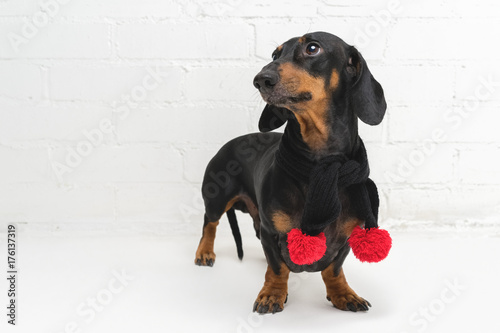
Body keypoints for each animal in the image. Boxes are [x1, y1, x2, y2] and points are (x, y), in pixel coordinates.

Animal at [194, 31, 386, 314]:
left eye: (312, 48)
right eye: (275, 54)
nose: (260, 80)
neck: (321, 167)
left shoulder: (347, 238)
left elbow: (333, 269)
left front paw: (343, 294)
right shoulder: (271, 233)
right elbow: (277, 268)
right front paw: (272, 294)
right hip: (217, 197)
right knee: (210, 223)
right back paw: (204, 252)